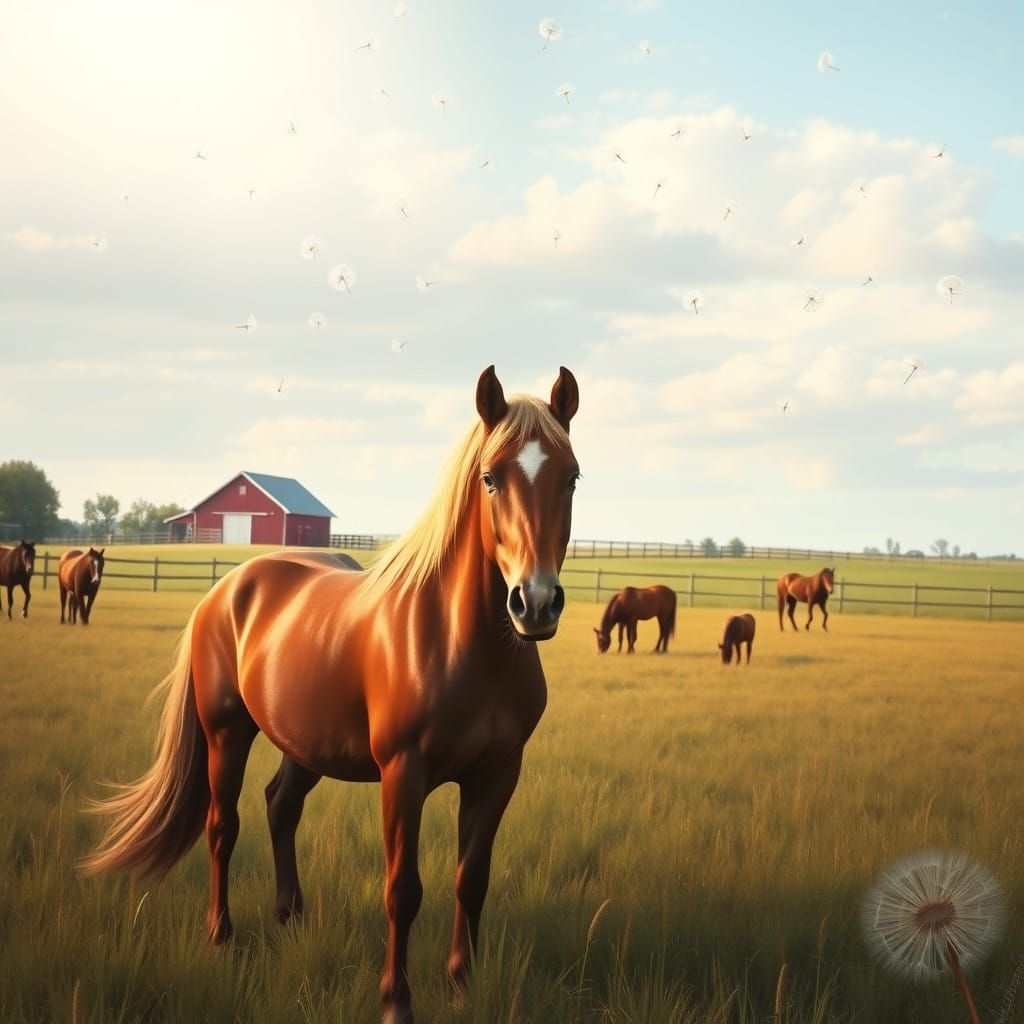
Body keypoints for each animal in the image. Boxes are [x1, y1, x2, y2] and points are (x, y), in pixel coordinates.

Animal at [82, 365, 581, 1024]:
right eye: (491, 477)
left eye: (571, 476)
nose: (536, 603)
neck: (461, 643)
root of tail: (227, 589)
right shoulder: (404, 772)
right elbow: (403, 889)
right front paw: (396, 1002)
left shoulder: (497, 774)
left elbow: (471, 881)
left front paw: (462, 988)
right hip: (226, 733)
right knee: (222, 825)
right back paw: (222, 936)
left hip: (304, 742)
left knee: (280, 805)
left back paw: (289, 917)